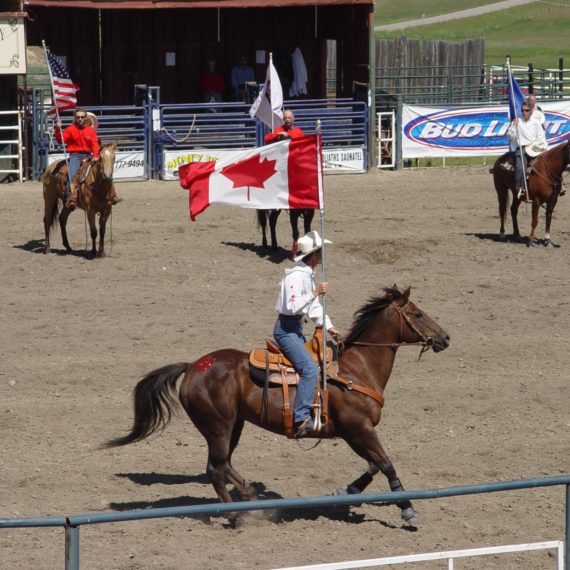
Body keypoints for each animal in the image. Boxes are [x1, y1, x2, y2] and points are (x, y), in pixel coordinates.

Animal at [105, 286, 448, 524]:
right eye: (418, 313)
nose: (445, 338)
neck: (357, 368)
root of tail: (192, 367)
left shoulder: (356, 433)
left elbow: (374, 465)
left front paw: (346, 492)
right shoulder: (358, 429)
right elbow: (386, 464)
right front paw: (408, 510)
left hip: (234, 425)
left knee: (221, 466)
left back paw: (246, 497)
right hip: (218, 426)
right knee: (216, 468)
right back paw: (238, 512)